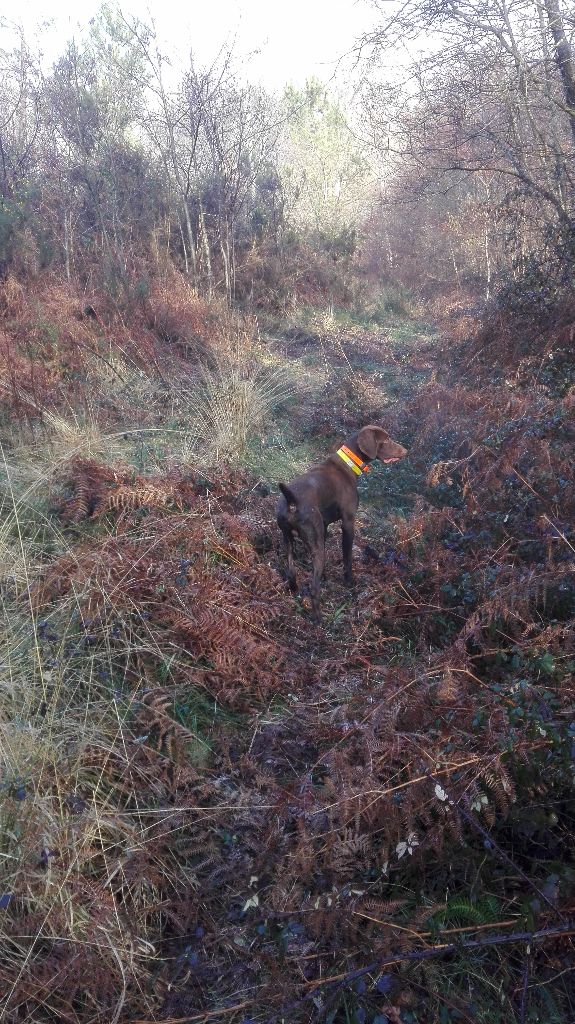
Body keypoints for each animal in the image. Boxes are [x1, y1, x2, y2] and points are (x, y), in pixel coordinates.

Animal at [276, 423, 405, 614]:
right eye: (386, 440)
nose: (405, 451)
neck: (348, 465)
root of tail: (292, 502)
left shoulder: (324, 526)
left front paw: (326, 575)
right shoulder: (348, 522)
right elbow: (347, 557)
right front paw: (349, 582)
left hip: (287, 541)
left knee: (291, 573)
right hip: (315, 545)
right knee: (313, 589)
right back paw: (318, 618)